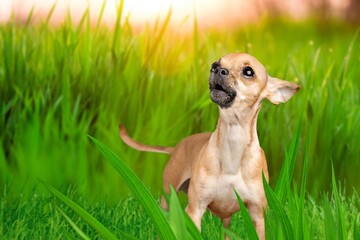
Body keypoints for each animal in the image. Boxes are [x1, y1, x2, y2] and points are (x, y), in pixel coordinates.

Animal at [119, 52, 300, 238]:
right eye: (218, 62)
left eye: (248, 71)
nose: (216, 68)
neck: (232, 142)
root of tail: (177, 147)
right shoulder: (195, 210)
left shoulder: (257, 215)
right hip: (168, 198)